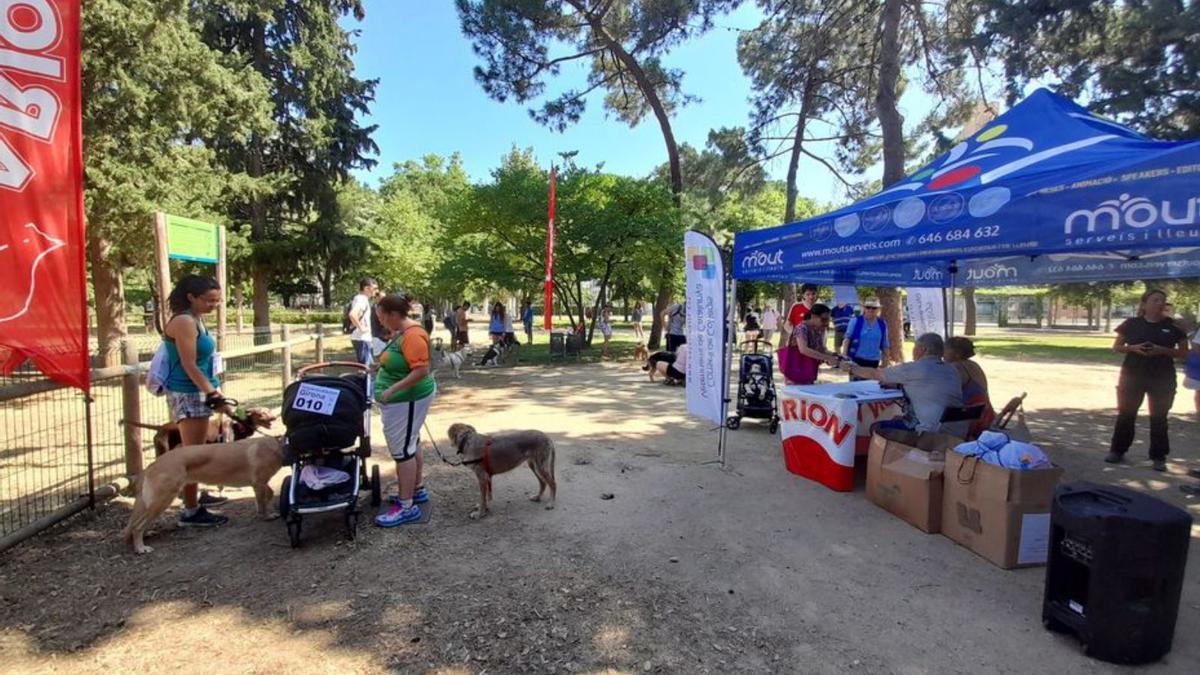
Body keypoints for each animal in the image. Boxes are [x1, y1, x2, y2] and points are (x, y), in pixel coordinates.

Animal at [123, 432, 284, 554]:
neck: (281, 446)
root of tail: (152, 465)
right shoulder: (259, 483)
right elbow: (264, 501)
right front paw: (266, 516)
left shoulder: (259, 484)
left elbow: (268, 494)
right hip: (162, 500)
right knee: (137, 526)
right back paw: (140, 547)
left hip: (155, 503)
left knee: (138, 523)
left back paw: (145, 535)